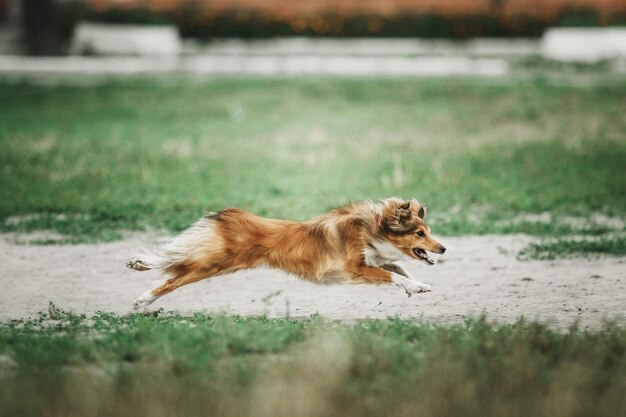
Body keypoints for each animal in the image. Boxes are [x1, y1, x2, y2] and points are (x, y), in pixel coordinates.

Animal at [127, 197, 444, 308]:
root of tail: (233, 216)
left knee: (175, 262)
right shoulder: (356, 270)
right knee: (173, 275)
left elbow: (400, 268)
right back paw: (142, 299)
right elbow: (392, 274)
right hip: (213, 262)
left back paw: (138, 263)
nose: (443, 248)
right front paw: (414, 287)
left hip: (214, 261)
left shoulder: (372, 262)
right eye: (420, 233)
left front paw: (419, 286)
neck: (370, 228)